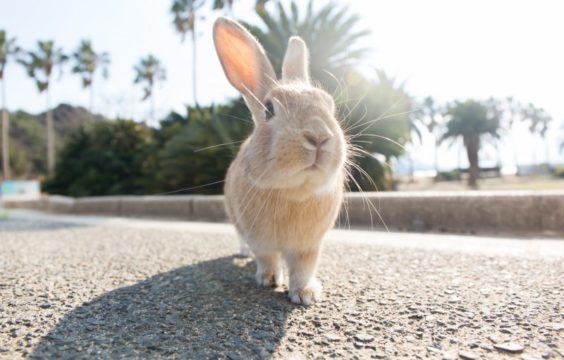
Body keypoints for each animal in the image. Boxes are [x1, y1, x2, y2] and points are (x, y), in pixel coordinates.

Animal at [213, 16, 348, 304]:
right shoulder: (260, 240)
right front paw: (268, 280)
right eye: (269, 109)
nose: (319, 136)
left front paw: (306, 294)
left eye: (329, 105)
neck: (294, 192)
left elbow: (303, 268)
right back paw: (243, 254)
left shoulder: (308, 246)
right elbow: (267, 258)